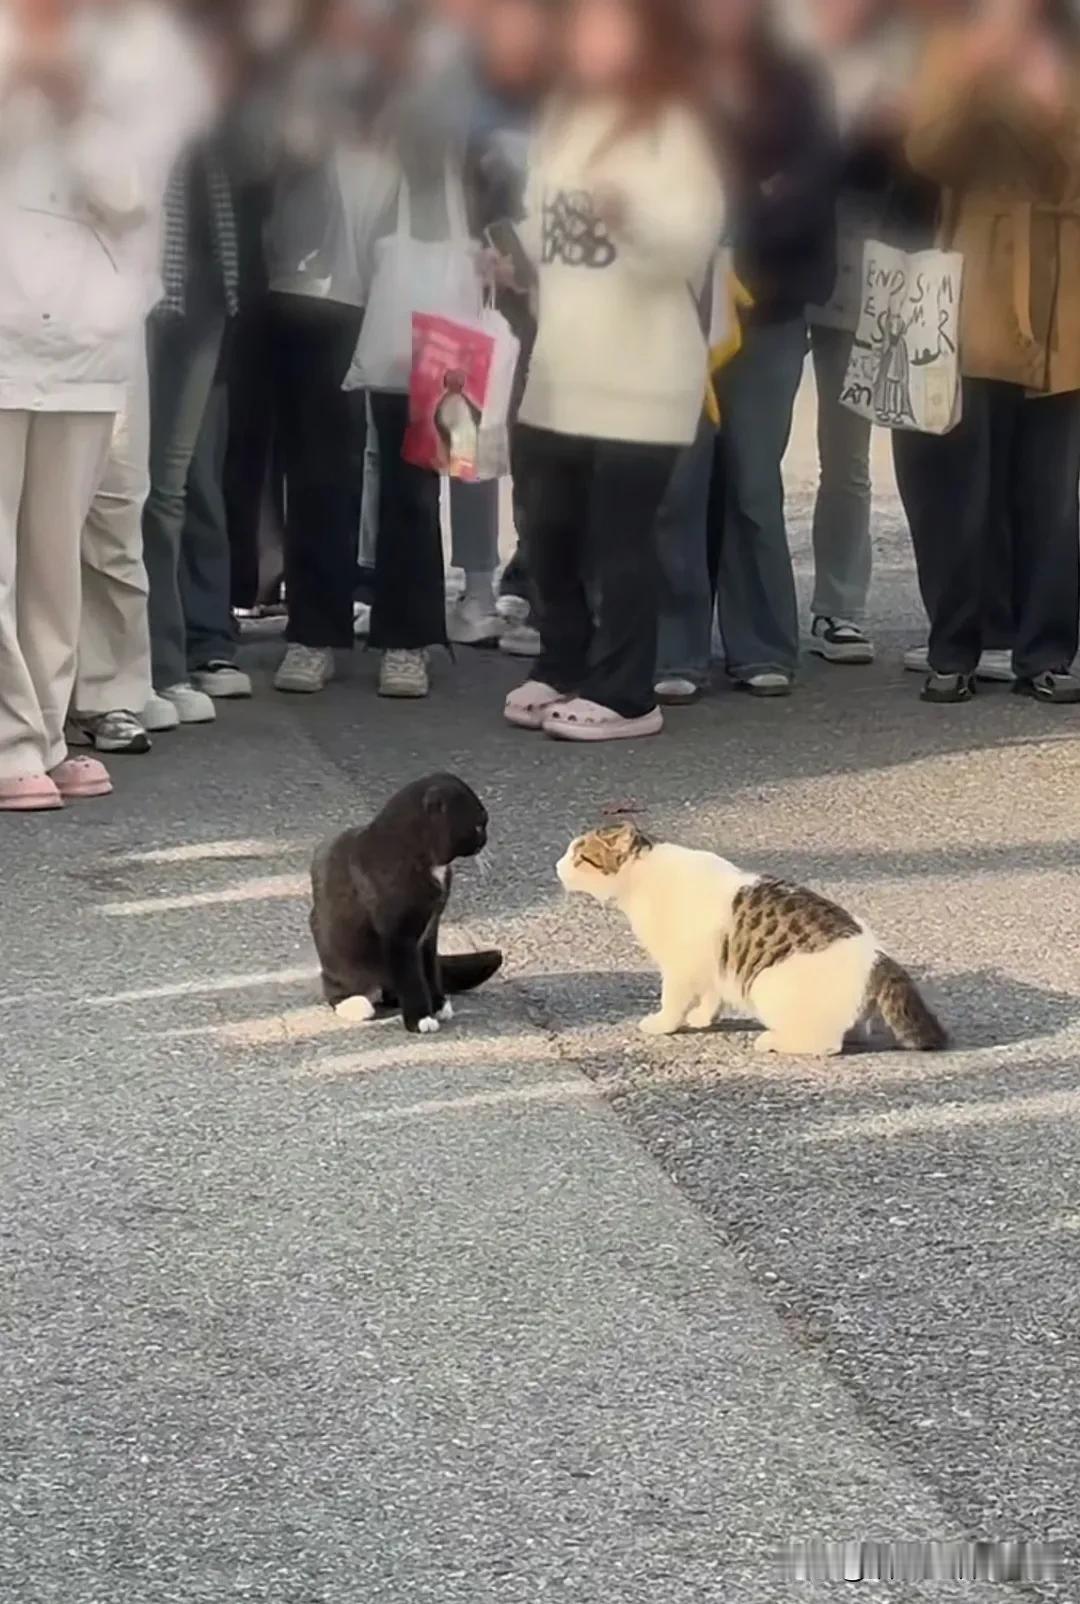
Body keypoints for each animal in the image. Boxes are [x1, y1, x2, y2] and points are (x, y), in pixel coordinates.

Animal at [308, 769, 500, 1032]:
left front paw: (438, 1004)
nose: (485, 839)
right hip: (338, 958)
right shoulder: (398, 937)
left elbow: (429, 968)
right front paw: (420, 1018)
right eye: (479, 825)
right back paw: (355, 1003)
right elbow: (411, 976)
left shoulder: (430, 930)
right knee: (338, 988)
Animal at [555, 827, 943, 1052]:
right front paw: (703, 1018)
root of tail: (879, 959)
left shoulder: (680, 966)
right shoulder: (711, 961)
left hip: (769, 984)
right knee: (853, 1030)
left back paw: (773, 1040)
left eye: (580, 856)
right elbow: (712, 993)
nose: (557, 865)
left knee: (826, 1044)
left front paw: (663, 1024)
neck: (643, 875)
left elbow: (673, 1000)